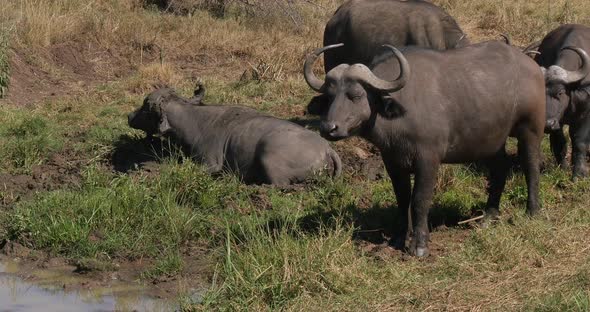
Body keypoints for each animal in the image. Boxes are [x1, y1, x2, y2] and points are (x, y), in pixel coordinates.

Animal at [127, 86, 344, 184]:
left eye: (145, 106)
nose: (129, 116)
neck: (193, 120)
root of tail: (326, 149)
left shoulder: (210, 163)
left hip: (268, 156)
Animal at [308, 40, 548, 256]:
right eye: (329, 97)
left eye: (356, 95)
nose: (329, 128)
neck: (402, 113)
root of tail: (532, 66)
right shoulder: (392, 162)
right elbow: (402, 198)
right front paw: (398, 237)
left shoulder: (428, 160)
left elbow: (419, 200)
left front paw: (419, 244)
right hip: (492, 141)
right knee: (499, 170)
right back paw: (489, 216)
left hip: (530, 129)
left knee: (531, 167)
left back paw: (532, 210)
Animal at [536, 24, 590, 179]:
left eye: (560, 92)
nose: (547, 124)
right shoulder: (557, 121)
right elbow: (559, 142)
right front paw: (563, 167)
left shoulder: (586, 114)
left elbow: (580, 141)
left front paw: (579, 173)